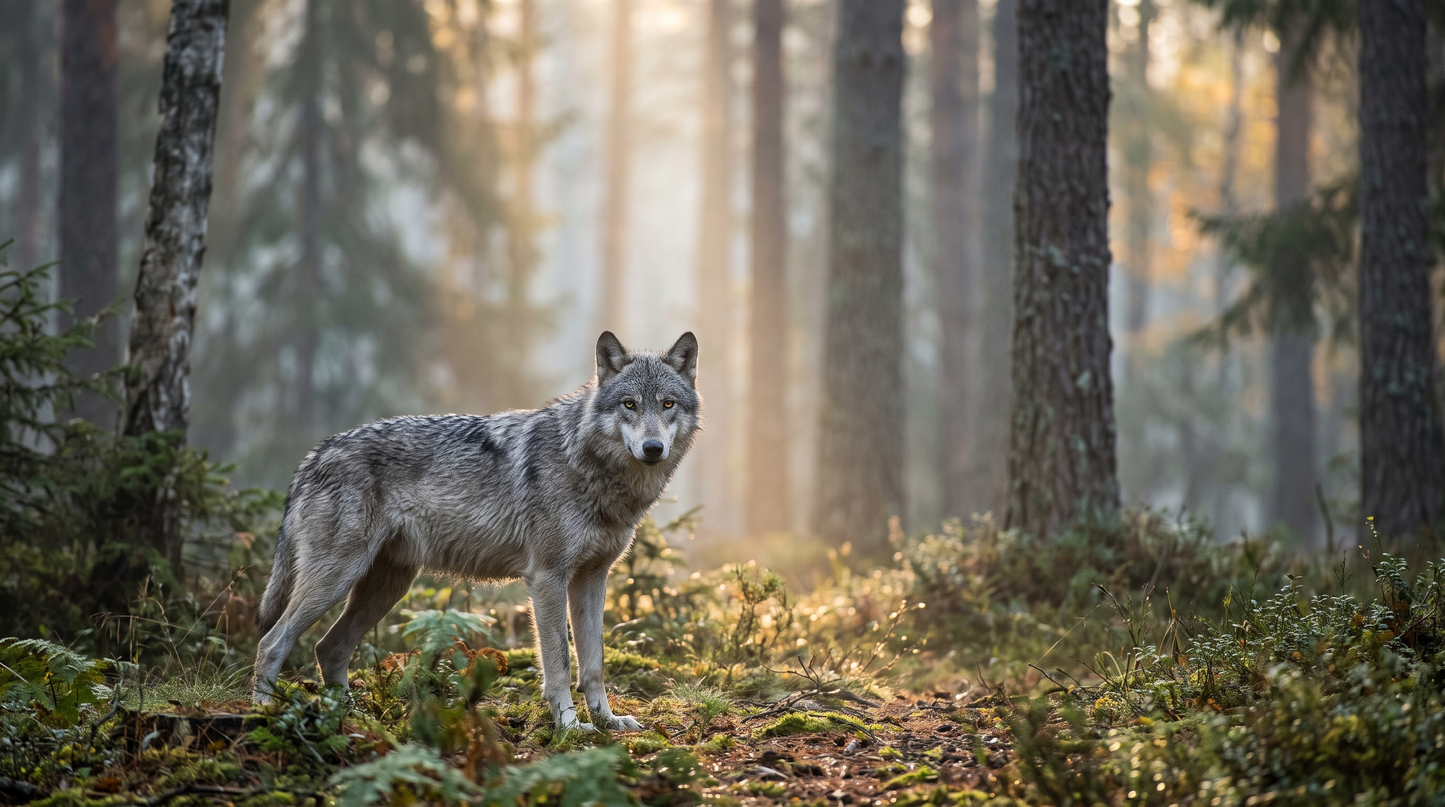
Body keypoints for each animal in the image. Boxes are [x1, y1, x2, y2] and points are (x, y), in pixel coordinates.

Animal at [251, 331, 701, 732]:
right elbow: (559, 662)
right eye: (629, 404)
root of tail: (314, 455)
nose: (653, 449)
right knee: (272, 642)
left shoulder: (592, 579)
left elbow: (593, 665)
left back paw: (353, 718)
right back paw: (264, 711)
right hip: (336, 579)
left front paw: (607, 722)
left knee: (329, 648)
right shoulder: (548, 578)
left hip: (386, 586)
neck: (588, 464)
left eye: (667, 404)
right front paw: (571, 726)